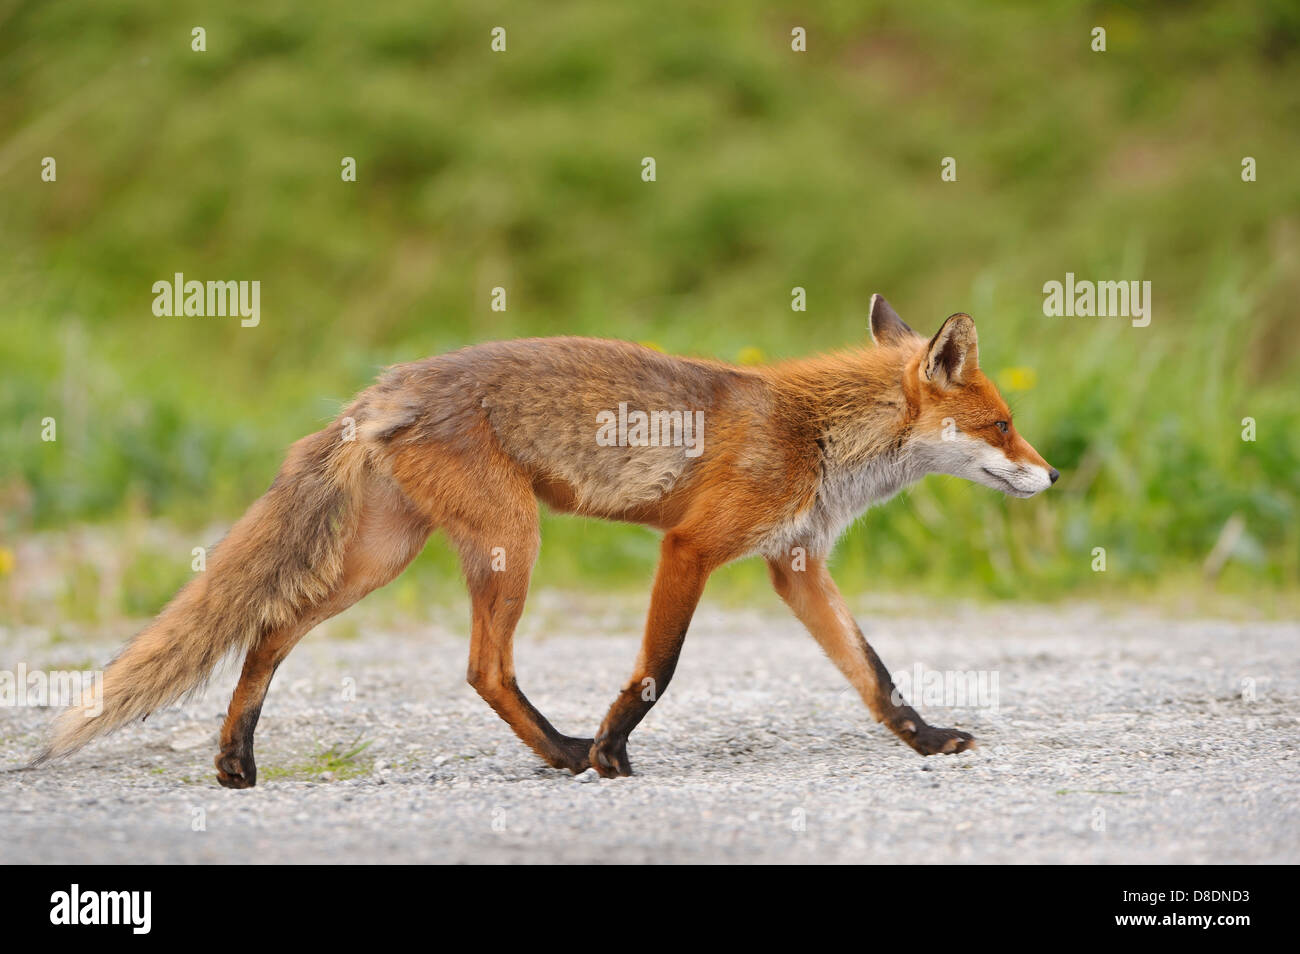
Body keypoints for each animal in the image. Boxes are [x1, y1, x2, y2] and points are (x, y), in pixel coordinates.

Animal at [38, 297, 1055, 785]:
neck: (816, 435)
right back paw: (567, 754)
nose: (1052, 476)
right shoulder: (691, 547)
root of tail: (388, 384)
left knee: (270, 628)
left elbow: (875, 676)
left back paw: (236, 760)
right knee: (483, 668)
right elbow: (657, 670)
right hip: (509, 541)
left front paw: (928, 741)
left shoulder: (794, 564)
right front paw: (610, 750)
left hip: (384, 556)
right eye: (1004, 425)